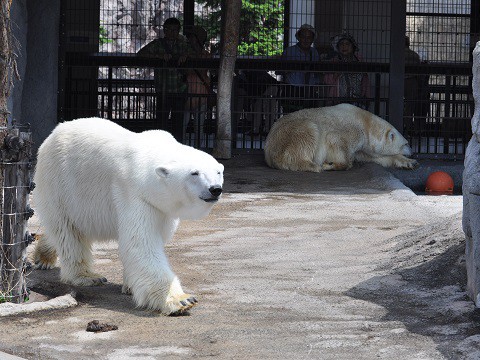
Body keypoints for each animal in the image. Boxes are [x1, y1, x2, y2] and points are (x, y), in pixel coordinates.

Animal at [32, 116, 224, 314]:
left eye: (218, 172)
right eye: (194, 173)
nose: (215, 189)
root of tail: (51, 136)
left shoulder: (160, 208)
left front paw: (130, 286)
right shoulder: (133, 193)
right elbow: (141, 244)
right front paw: (182, 300)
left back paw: (43, 256)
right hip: (60, 185)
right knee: (69, 231)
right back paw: (87, 276)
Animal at [264, 103, 418, 172]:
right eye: (406, 144)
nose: (412, 152)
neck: (366, 123)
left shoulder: (364, 149)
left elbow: (376, 157)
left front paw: (410, 162)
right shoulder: (351, 130)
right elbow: (337, 141)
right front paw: (330, 164)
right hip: (291, 132)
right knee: (308, 133)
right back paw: (314, 166)